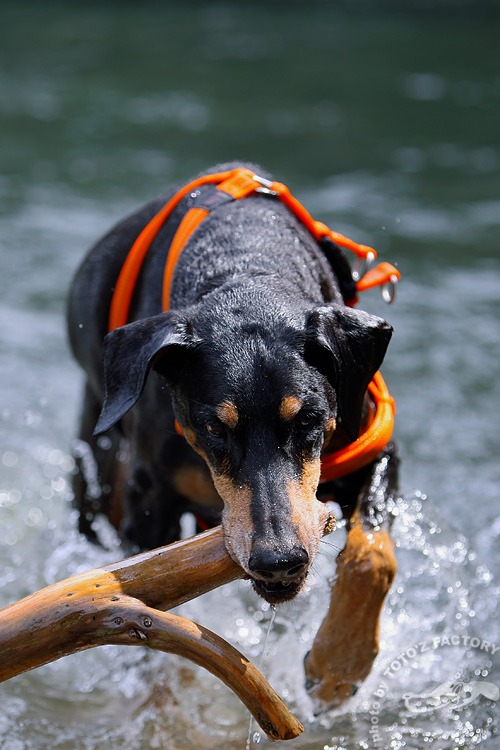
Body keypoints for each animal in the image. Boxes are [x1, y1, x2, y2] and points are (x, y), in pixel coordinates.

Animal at [69, 164, 398, 628]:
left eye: (308, 419)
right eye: (213, 427)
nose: (279, 561)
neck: (244, 267)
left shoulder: (376, 448)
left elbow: (372, 556)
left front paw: (342, 648)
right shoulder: (150, 504)